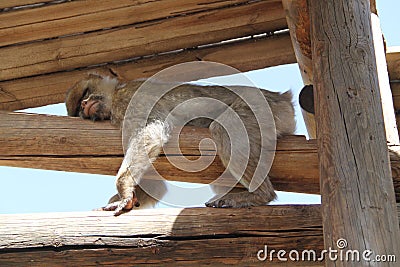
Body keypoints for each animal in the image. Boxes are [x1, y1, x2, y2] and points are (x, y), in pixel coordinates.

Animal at [65, 73, 296, 216]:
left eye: (84, 94)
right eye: (77, 109)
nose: (84, 105)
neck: (114, 99)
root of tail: (284, 99)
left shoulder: (128, 100)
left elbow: (151, 132)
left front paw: (123, 191)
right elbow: (154, 184)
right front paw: (126, 199)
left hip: (262, 108)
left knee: (224, 128)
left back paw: (261, 194)